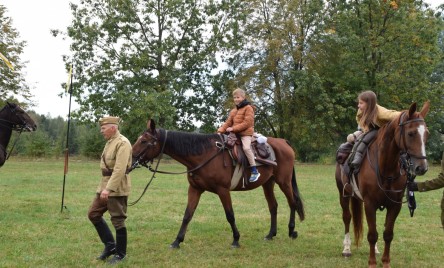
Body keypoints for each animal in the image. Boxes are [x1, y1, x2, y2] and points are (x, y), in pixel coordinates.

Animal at [132, 118, 306, 248]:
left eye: (144, 141)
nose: (132, 160)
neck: (204, 155)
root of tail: (283, 142)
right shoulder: (194, 189)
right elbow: (187, 215)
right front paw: (177, 241)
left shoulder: (223, 190)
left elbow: (230, 215)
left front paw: (236, 239)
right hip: (268, 183)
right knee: (273, 206)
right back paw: (271, 234)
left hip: (284, 182)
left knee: (292, 203)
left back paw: (292, 231)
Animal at [336, 101, 430, 266]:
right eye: (411, 133)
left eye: (427, 134)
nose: (422, 167)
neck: (386, 167)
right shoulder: (369, 203)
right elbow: (372, 234)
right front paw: (372, 262)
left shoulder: (394, 205)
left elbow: (387, 233)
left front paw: (385, 261)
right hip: (344, 194)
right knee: (347, 217)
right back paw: (346, 248)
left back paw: (376, 249)